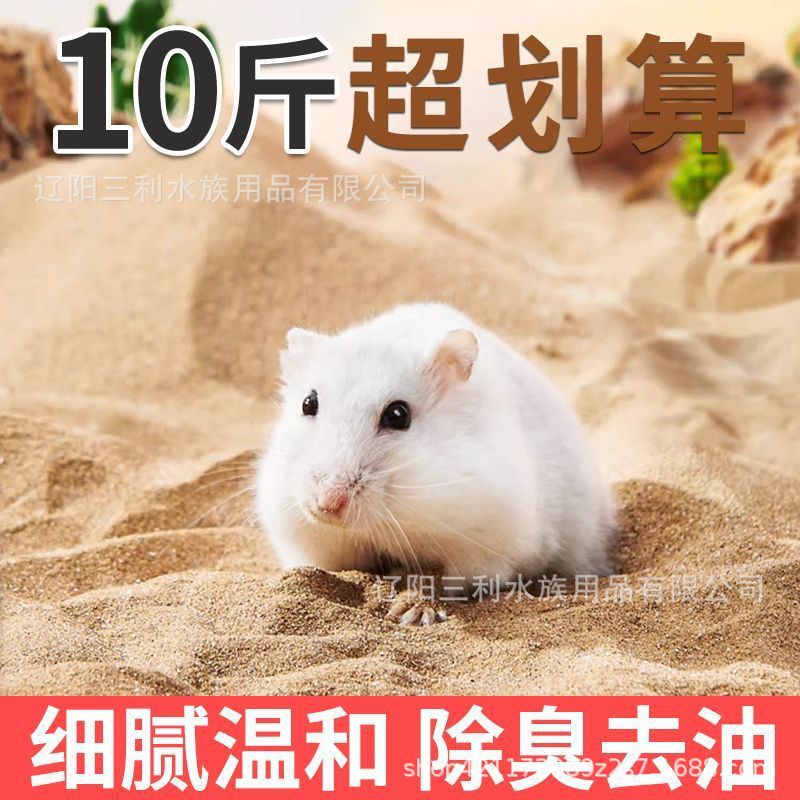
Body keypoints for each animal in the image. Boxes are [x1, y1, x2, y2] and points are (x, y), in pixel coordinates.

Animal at [256, 303, 616, 611]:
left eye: (398, 415)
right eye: (308, 403)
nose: (327, 505)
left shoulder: (486, 548)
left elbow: (443, 581)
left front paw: (409, 608)